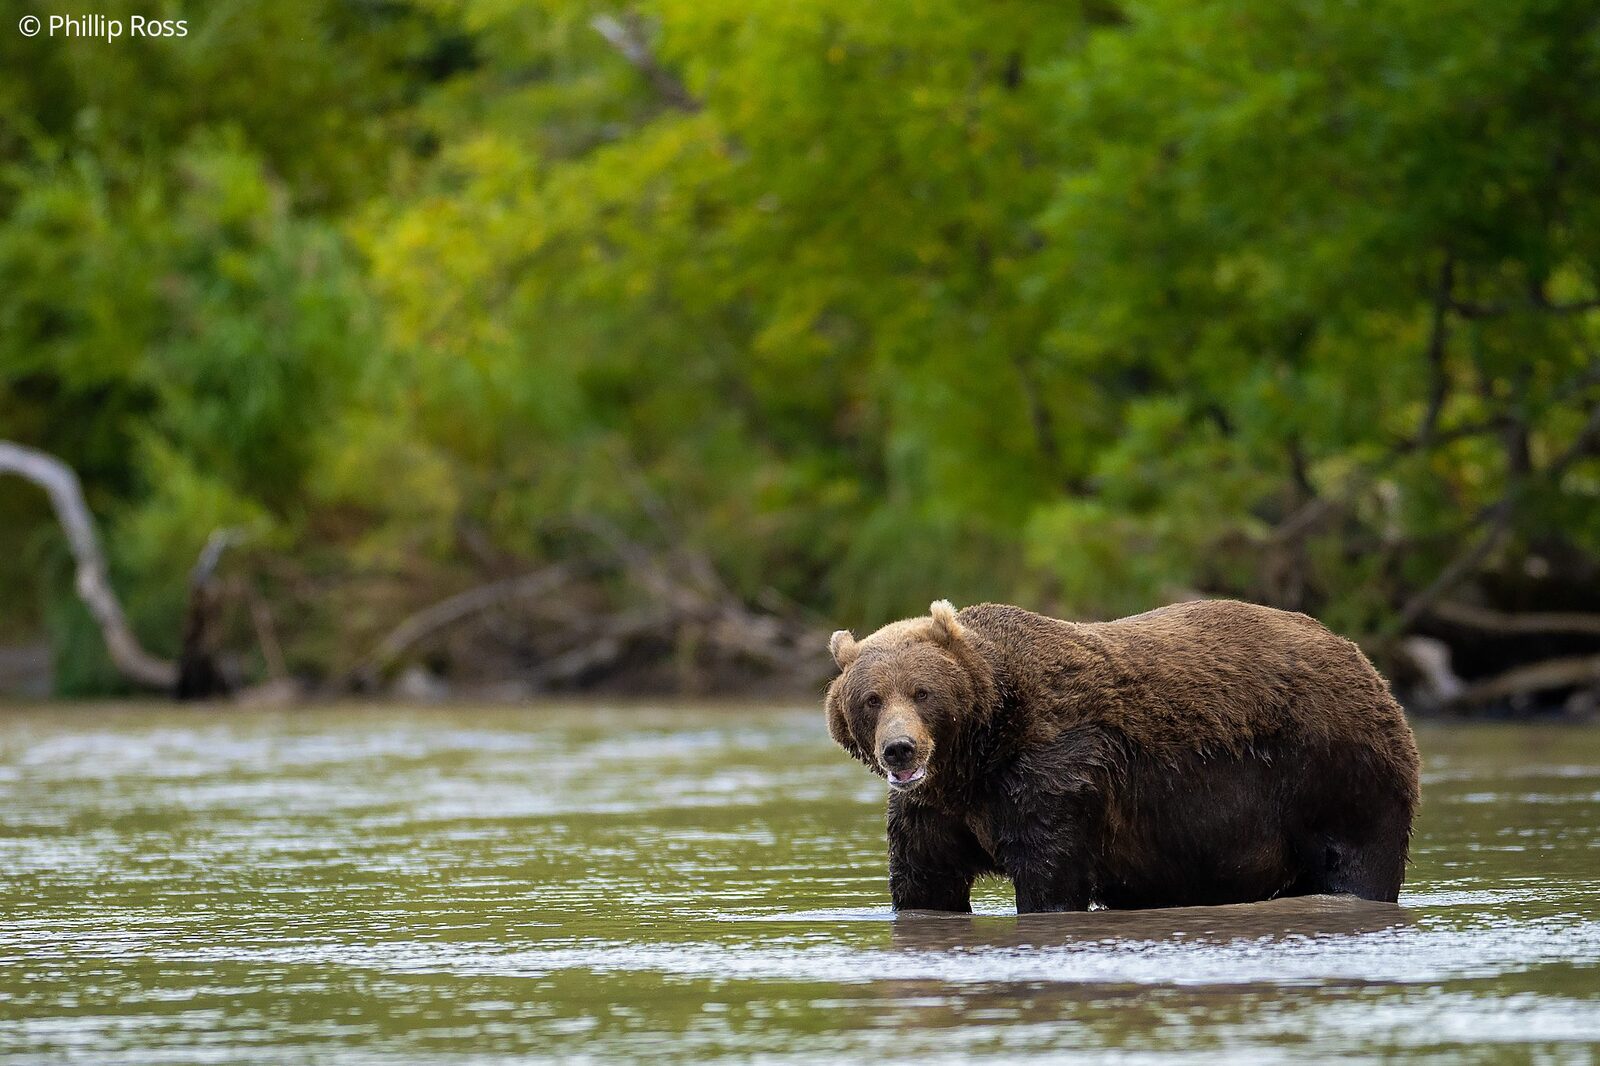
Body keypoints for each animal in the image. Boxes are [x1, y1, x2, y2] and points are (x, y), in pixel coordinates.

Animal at [824, 599, 1420, 913]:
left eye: (922, 691)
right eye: (871, 698)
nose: (900, 748)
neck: (977, 753)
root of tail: (1363, 662)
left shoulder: (1054, 772)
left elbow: (1051, 875)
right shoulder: (935, 809)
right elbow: (925, 883)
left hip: (1331, 771)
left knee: (1358, 861)